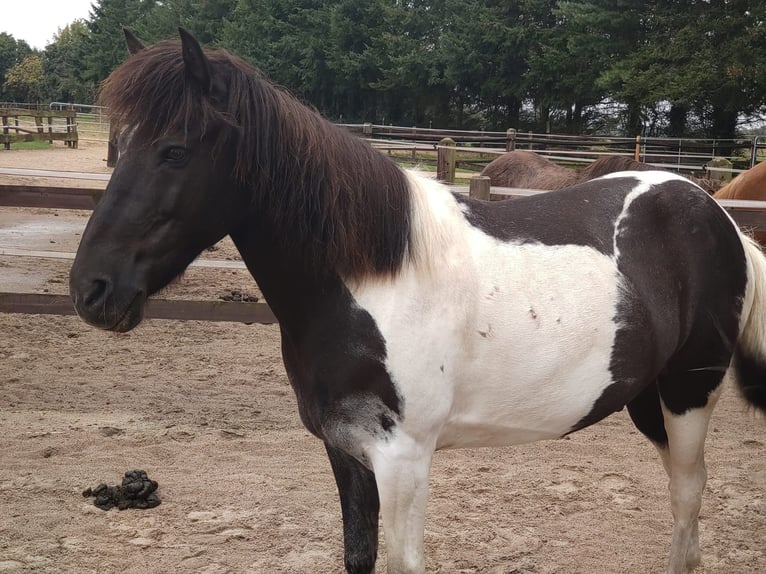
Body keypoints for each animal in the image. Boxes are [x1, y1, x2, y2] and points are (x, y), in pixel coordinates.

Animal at [67, 30, 766, 574]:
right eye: (119, 144)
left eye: (174, 150)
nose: (91, 291)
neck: (373, 282)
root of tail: (718, 216)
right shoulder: (346, 451)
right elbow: (358, 555)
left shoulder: (403, 459)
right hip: (648, 401)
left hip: (688, 396)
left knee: (687, 502)